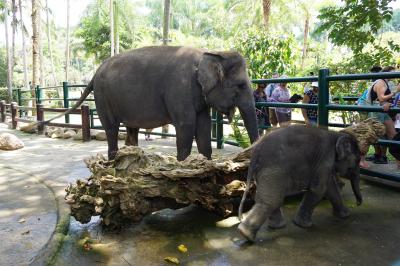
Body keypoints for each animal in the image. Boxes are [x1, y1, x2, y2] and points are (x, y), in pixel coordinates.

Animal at [45, 46, 258, 160]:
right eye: (240, 85)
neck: (210, 53)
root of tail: (96, 72)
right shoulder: (179, 89)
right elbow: (186, 128)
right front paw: (183, 168)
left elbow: (204, 130)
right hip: (103, 97)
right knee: (112, 129)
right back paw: (112, 163)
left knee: (131, 131)